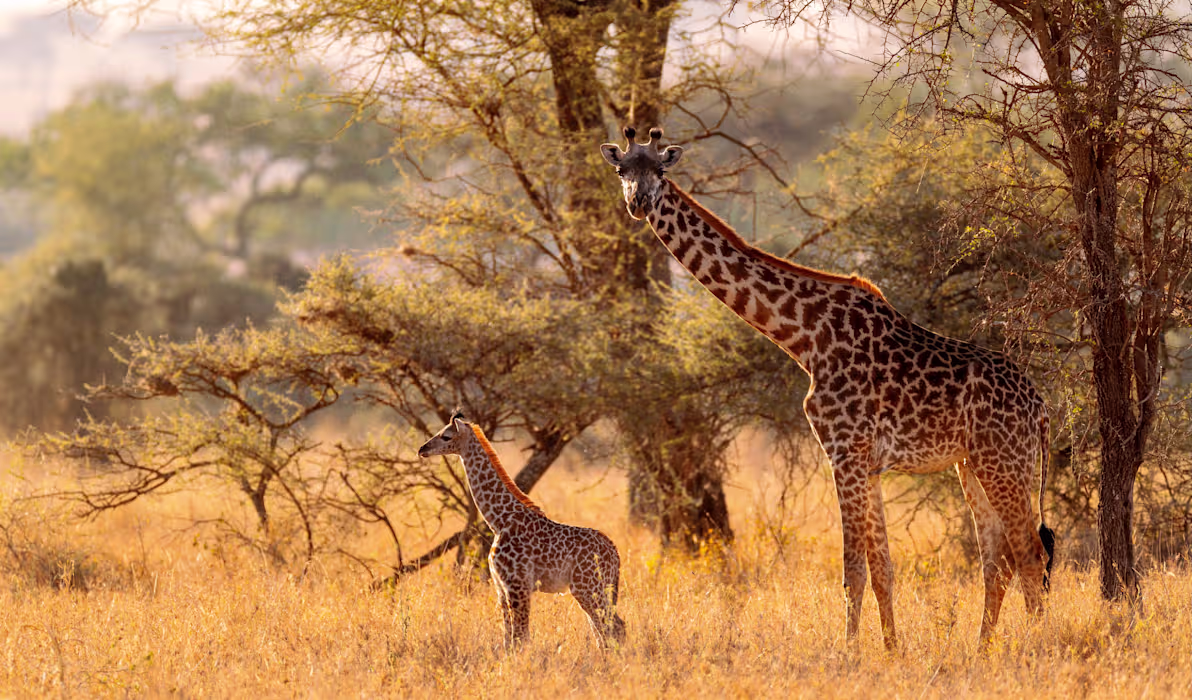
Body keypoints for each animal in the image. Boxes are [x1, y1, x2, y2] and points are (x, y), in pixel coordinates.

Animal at [418, 412, 626, 649]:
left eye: (446, 436)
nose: (422, 449)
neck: (499, 520)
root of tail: (615, 554)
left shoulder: (517, 584)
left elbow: (520, 637)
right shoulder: (501, 586)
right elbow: (509, 637)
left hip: (587, 587)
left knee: (612, 627)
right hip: (597, 588)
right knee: (604, 630)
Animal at [600, 126, 1055, 649]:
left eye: (660, 170)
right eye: (622, 170)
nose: (638, 202)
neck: (804, 337)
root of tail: (1042, 408)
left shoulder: (844, 452)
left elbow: (852, 570)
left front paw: (850, 653)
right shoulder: (867, 463)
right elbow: (883, 568)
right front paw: (891, 650)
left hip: (1003, 462)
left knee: (1029, 554)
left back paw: (1034, 648)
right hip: (972, 465)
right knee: (997, 561)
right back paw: (982, 650)